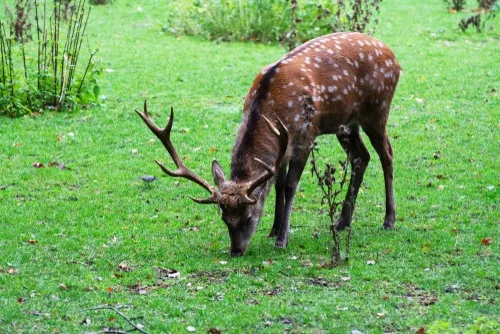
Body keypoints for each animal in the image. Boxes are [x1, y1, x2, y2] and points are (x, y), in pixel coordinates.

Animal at [138, 32, 402, 256]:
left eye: (248, 217)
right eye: (224, 218)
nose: (236, 251)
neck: (268, 105)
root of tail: (395, 58)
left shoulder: (305, 137)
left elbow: (290, 186)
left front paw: (282, 239)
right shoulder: (280, 151)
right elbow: (277, 184)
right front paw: (273, 229)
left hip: (377, 109)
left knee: (387, 154)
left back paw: (389, 220)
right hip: (346, 124)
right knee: (361, 157)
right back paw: (342, 222)